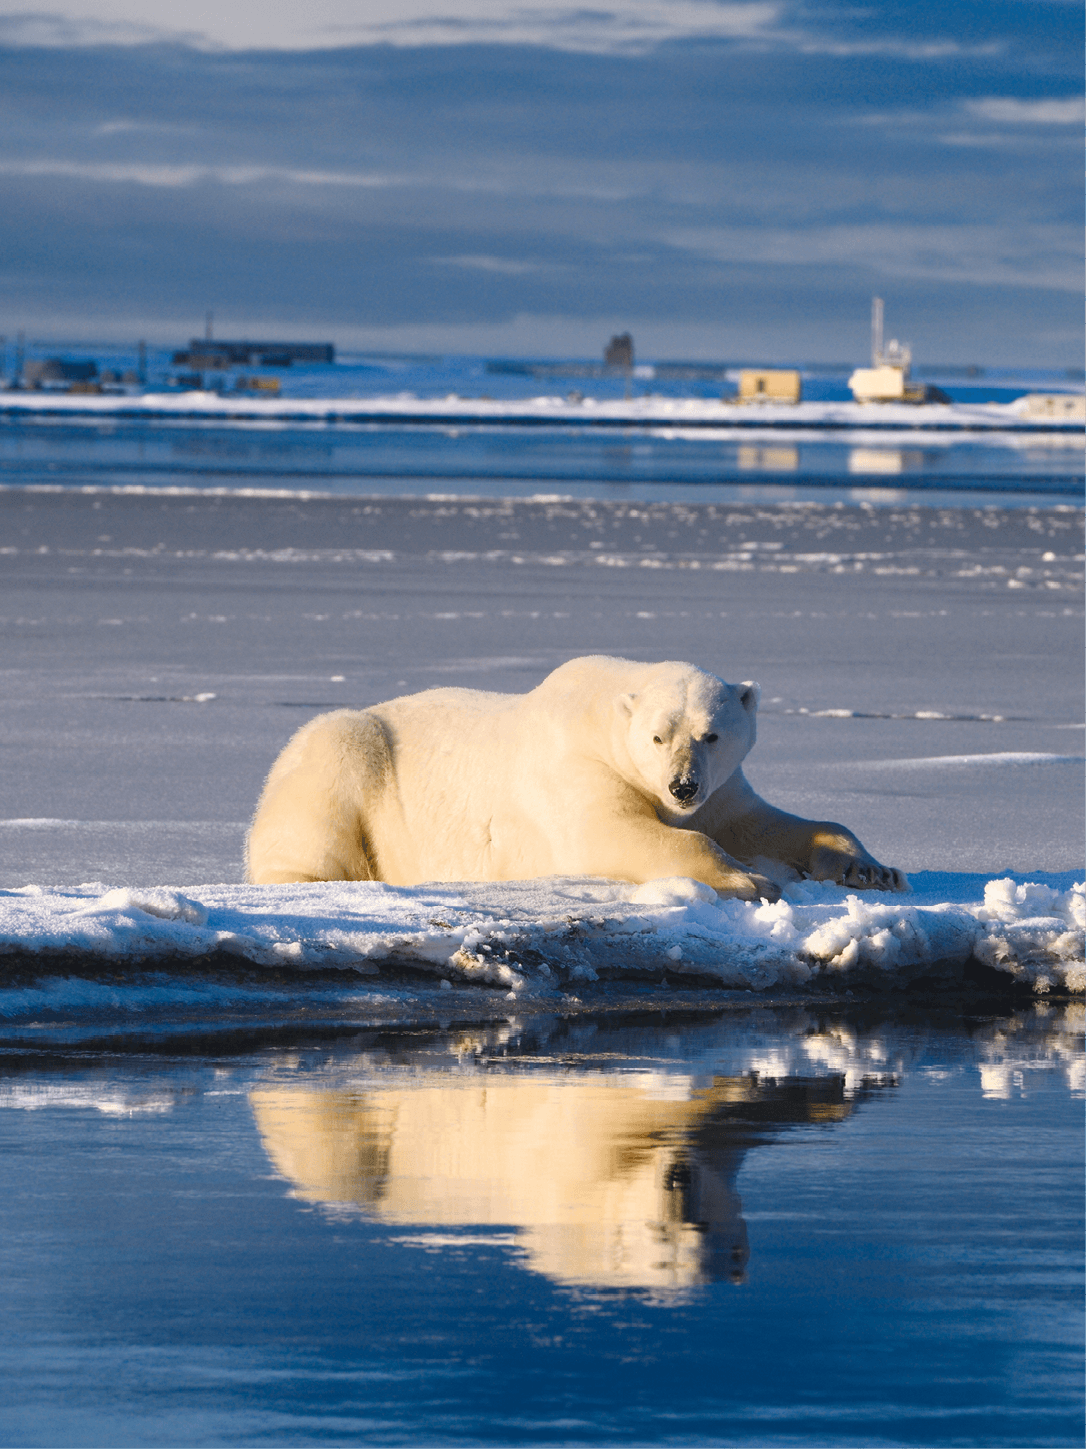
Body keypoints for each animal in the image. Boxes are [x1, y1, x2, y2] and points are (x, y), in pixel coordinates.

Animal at [247, 654, 904, 898]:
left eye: (711, 734)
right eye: (658, 736)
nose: (681, 786)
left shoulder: (724, 788)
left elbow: (760, 821)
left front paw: (871, 869)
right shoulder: (576, 770)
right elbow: (612, 832)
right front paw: (747, 879)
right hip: (342, 753)